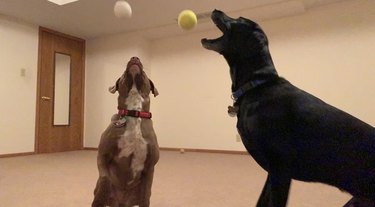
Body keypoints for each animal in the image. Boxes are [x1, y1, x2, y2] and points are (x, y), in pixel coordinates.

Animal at [93, 56, 161, 207]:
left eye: (145, 74)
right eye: (123, 75)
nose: (135, 57)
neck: (133, 112)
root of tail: (121, 201)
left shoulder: (150, 168)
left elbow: (145, 194)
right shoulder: (102, 155)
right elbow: (105, 178)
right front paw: (103, 192)